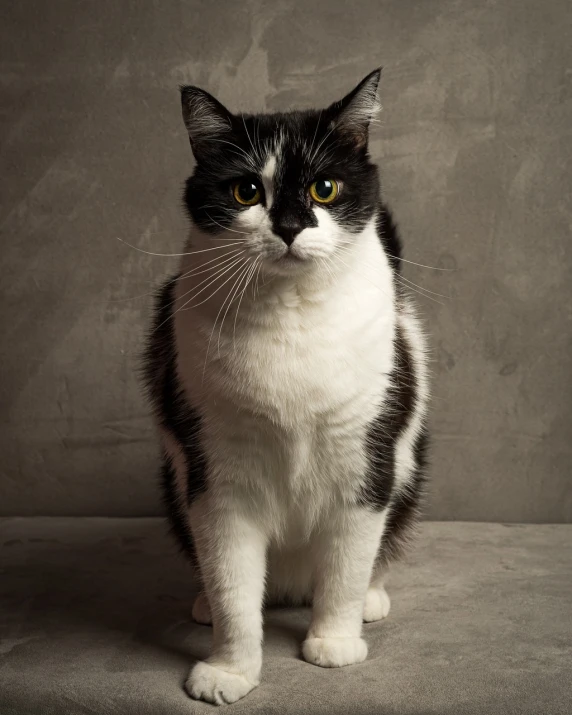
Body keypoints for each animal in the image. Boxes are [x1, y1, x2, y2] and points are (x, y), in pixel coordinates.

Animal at [143, 70, 428, 708]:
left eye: (324, 188)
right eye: (247, 191)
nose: (291, 226)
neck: (290, 311)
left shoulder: (364, 459)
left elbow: (346, 567)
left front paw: (334, 642)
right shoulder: (217, 473)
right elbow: (232, 583)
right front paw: (229, 670)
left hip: (404, 476)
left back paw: (371, 599)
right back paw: (203, 604)